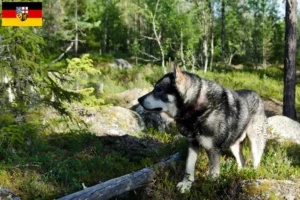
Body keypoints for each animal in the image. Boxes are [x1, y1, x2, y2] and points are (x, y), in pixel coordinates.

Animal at [137, 64, 266, 192]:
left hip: (254, 143)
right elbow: (188, 168)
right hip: (234, 145)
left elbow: (213, 175)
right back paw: (238, 175)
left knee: (256, 162)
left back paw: (252, 176)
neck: (196, 107)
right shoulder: (192, 144)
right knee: (241, 161)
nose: (139, 99)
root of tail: (257, 95)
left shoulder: (213, 150)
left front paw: (210, 188)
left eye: (159, 89)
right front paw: (186, 185)